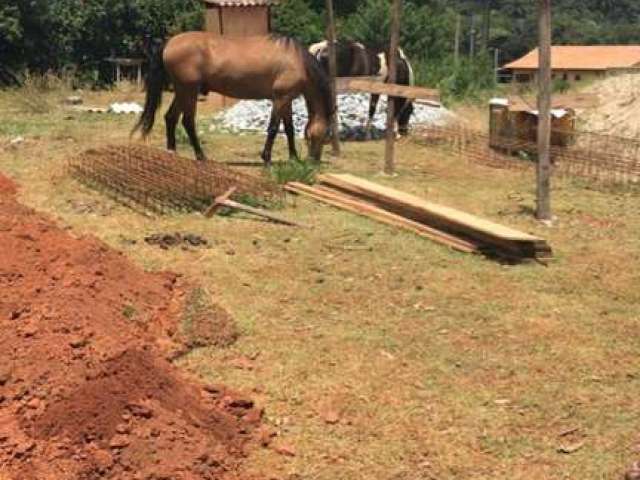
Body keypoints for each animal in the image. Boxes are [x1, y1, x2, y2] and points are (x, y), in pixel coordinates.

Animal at [132, 32, 332, 165]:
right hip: (188, 91)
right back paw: (201, 156)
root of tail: (168, 43)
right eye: (322, 136)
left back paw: (172, 152)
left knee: (170, 117)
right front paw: (267, 158)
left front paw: (293, 158)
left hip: (183, 91)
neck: (296, 60)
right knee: (187, 122)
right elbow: (274, 129)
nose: (314, 160)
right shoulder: (280, 98)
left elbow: (289, 129)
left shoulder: (286, 99)